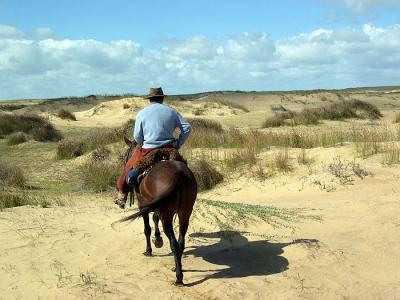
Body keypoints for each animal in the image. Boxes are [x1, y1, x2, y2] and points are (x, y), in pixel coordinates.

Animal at [114, 137, 197, 284]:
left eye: (126, 155)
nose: (125, 161)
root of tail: (179, 175)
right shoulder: (155, 205)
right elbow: (154, 218)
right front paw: (158, 239)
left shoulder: (143, 206)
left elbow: (147, 229)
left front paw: (149, 250)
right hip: (185, 213)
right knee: (181, 241)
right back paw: (177, 268)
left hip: (167, 216)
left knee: (174, 243)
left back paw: (179, 277)